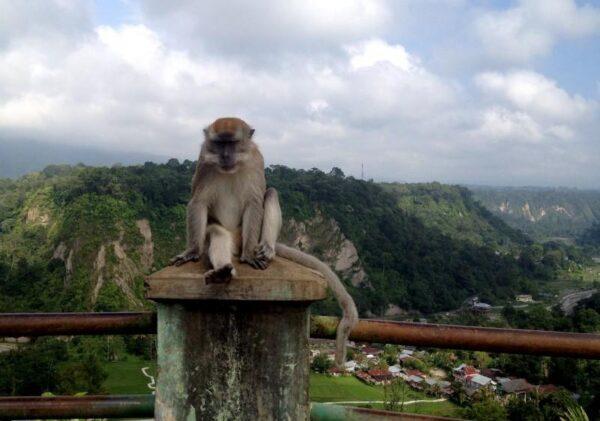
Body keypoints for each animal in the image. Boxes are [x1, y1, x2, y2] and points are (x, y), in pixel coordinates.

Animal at [170, 116, 356, 362]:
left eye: (232, 143)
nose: (225, 156)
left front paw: (250, 255)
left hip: (248, 233)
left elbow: (255, 201)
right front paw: (192, 251)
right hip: (229, 236)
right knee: (218, 233)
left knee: (271, 194)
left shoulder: (256, 161)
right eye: (219, 144)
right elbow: (198, 202)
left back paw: (265, 249)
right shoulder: (204, 161)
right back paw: (222, 272)